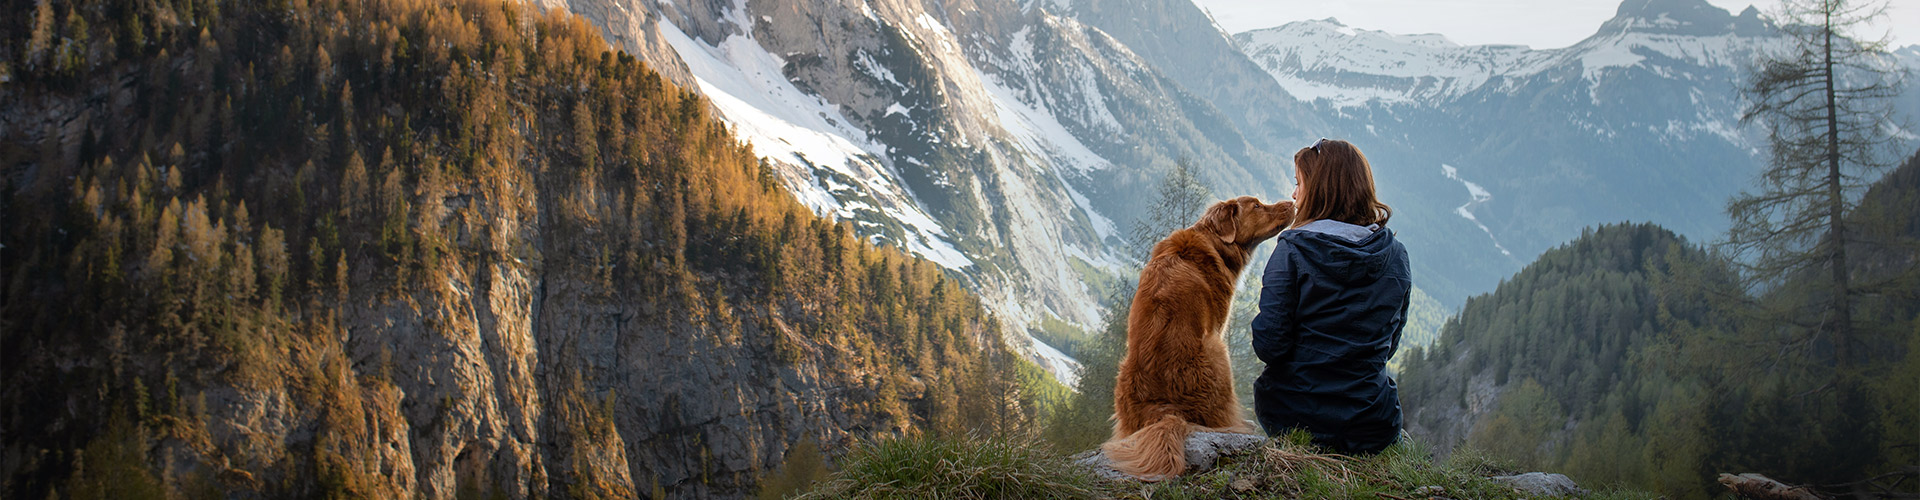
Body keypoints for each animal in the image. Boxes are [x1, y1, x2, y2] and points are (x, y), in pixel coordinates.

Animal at [1105, 194, 1297, 480]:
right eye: (1257, 206)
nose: (1292, 203)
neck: (1214, 242)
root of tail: (1165, 410)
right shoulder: (1219, 325)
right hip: (1217, 351)